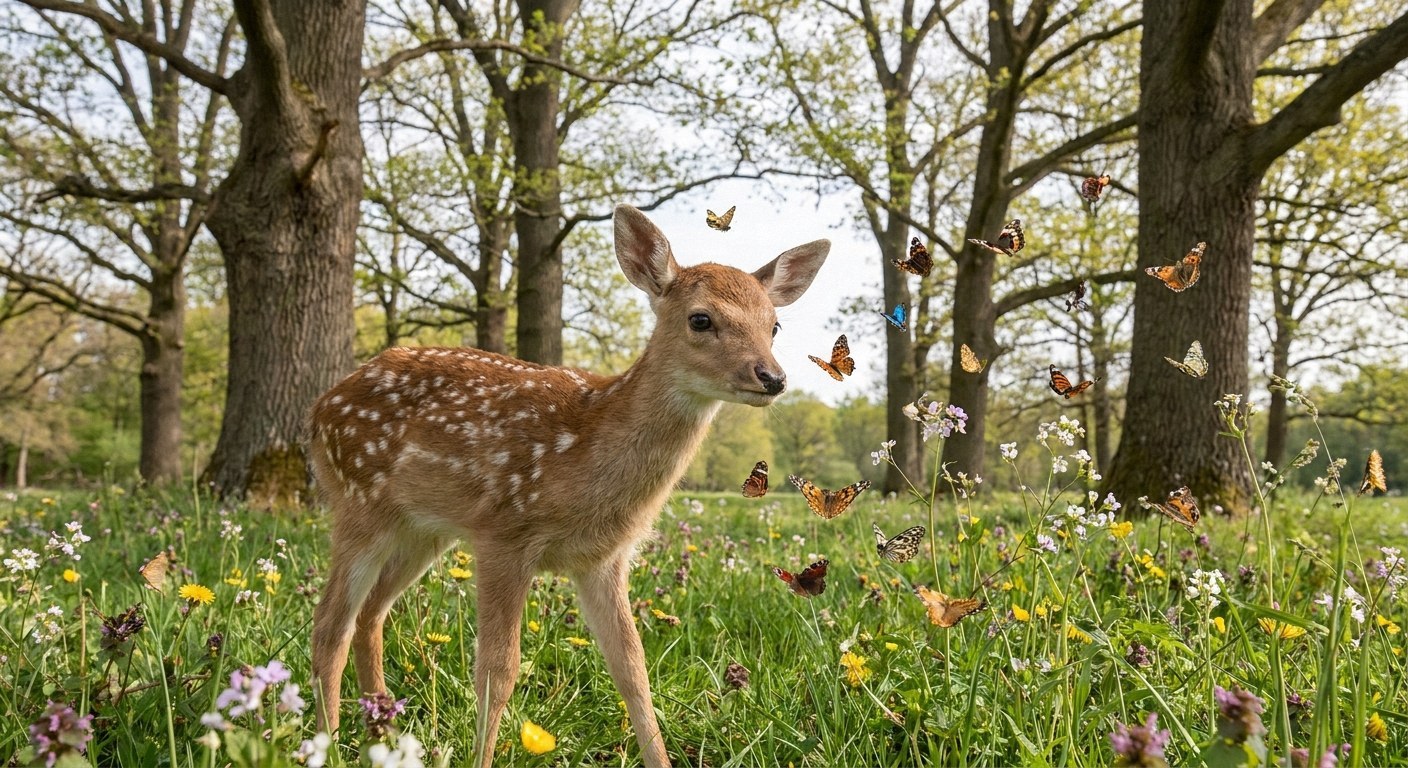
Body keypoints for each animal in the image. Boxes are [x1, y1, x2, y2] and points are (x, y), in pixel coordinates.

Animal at [307, 204, 828, 767]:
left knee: (370, 616)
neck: (583, 456)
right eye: (701, 319)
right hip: (359, 503)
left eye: (773, 324)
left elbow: (633, 670)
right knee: (330, 625)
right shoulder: (503, 536)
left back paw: (381, 737)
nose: (772, 377)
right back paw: (330, 743)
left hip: (425, 530)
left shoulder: (602, 559)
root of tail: (319, 409)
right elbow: (498, 671)